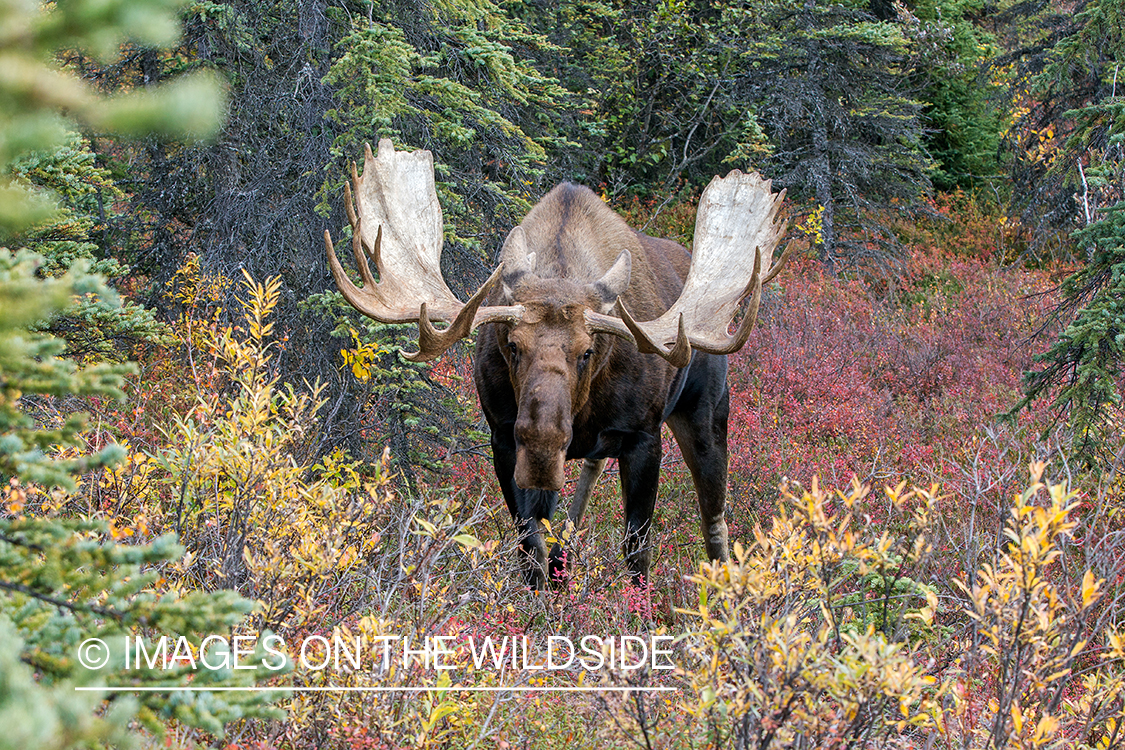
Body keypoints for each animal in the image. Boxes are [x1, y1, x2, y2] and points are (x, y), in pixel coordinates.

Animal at [324, 139, 783, 584]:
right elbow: (530, 549)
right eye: (512, 345)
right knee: (582, 494)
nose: (543, 442)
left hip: (706, 412)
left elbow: (637, 553)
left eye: (587, 350)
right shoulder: (503, 438)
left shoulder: (643, 436)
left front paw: (639, 606)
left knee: (714, 520)